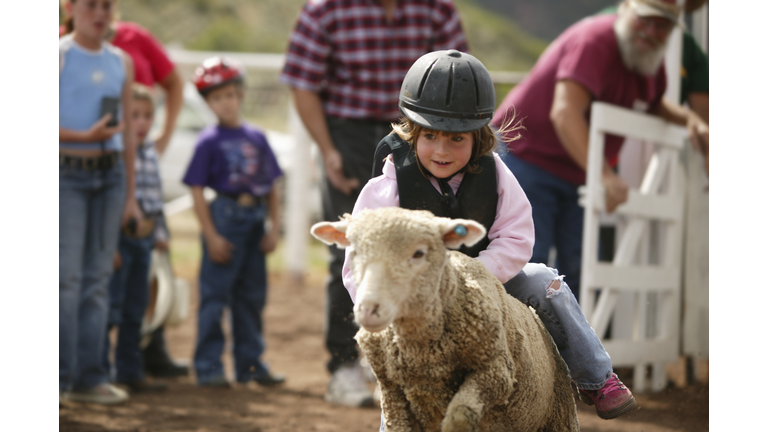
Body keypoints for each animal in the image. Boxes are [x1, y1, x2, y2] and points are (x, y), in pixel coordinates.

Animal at [308, 208, 580, 432]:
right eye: (353, 252)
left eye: (419, 253)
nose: (368, 309)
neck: (423, 355)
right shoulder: (392, 392)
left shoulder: (496, 373)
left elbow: (459, 418)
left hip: (558, 416)